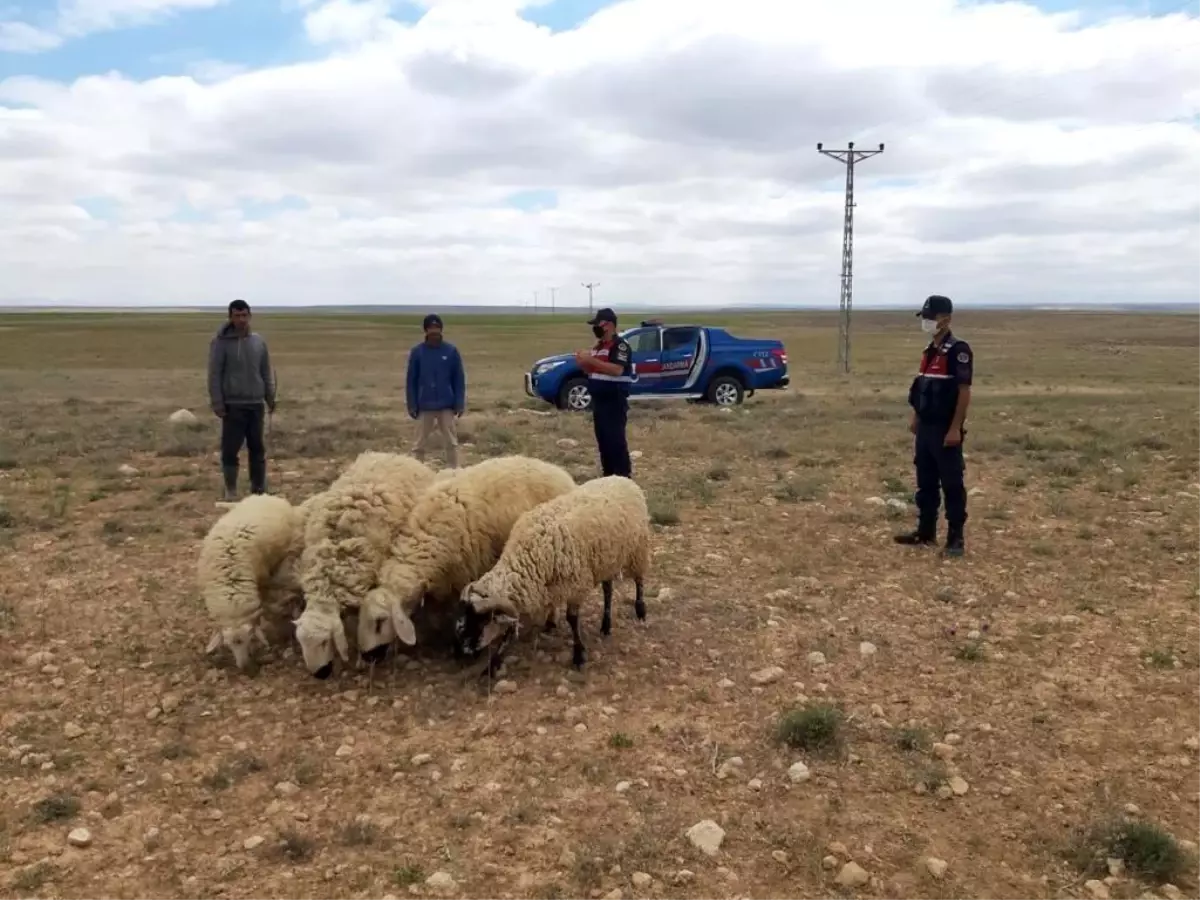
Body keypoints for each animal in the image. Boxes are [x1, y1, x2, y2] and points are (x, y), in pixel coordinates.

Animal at [453, 480, 652, 676]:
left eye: (482, 621)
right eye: (465, 614)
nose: (462, 651)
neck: (530, 555)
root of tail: (623, 480)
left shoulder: (576, 586)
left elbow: (572, 619)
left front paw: (579, 655)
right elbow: (510, 630)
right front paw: (493, 663)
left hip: (638, 549)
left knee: (639, 580)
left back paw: (640, 610)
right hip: (607, 560)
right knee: (608, 590)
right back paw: (606, 625)